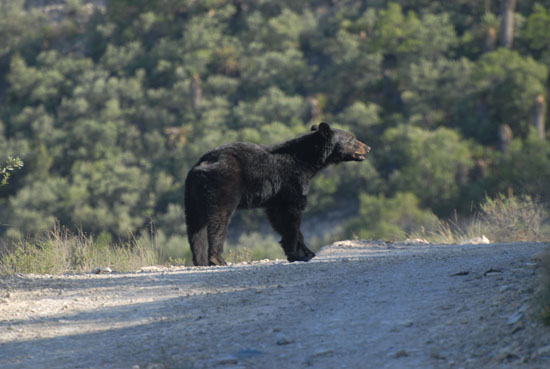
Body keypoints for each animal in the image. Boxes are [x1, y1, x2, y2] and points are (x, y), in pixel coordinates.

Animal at [184, 122, 370, 266]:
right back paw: (217, 259)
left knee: (195, 226)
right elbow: (291, 216)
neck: (307, 161)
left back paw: (200, 260)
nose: (368, 148)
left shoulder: (276, 196)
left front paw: (306, 252)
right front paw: (296, 254)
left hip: (193, 194)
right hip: (223, 185)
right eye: (352, 139)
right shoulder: (292, 182)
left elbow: (278, 218)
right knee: (218, 219)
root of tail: (202, 164)